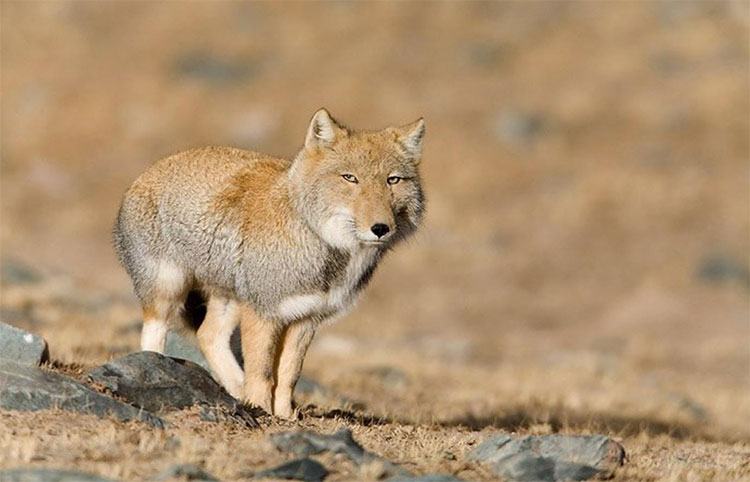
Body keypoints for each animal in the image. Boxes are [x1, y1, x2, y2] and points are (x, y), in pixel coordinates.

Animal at [113, 108, 425, 418]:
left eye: (393, 180)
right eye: (350, 178)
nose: (380, 228)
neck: (321, 245)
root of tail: (149, 170)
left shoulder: (305, 318)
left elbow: (288, 376)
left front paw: (284, 416)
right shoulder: (263, 313)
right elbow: (262, 373)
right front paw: (261, 410)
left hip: (229, 300)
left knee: (208, 335)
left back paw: (237, 389)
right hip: (167, 292)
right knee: (153, 335)